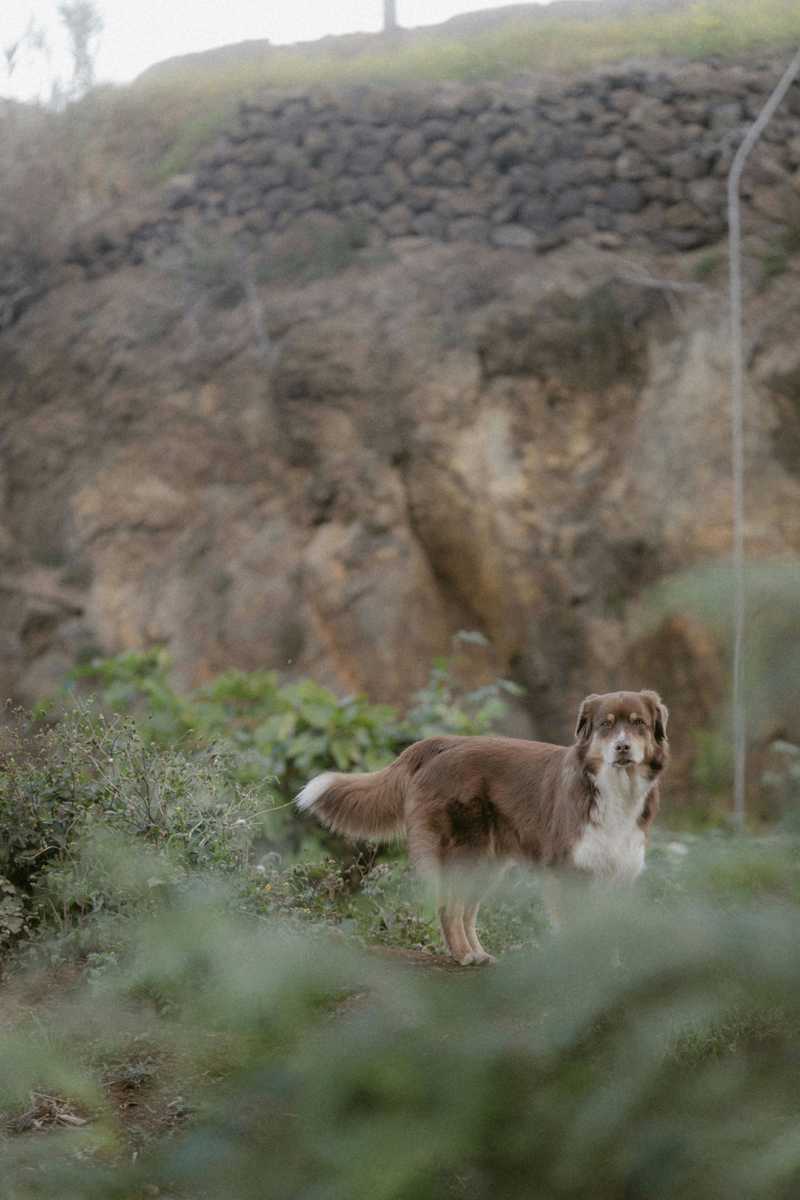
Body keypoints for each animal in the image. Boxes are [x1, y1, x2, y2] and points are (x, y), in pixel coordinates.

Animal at [297, 691, 666, 960]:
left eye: (639, 724)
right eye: (605, 725)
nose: (622, 746)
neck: (613, 790)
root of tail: (441, 744)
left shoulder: (619, 874)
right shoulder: (566, 871)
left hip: (488, 863)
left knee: (465, 911)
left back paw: (479, 954)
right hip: (466, 851)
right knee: (449, 908)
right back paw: (463, 956)